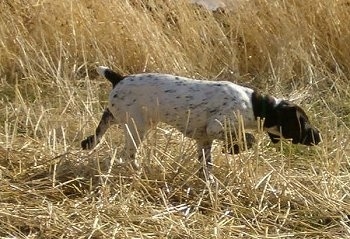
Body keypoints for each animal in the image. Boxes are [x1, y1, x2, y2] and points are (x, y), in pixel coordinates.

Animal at [81, 66, 320, 178]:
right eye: (304, 122)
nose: (319, 137)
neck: (254, 105)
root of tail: (119, 78)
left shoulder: (204, 140)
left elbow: (207, 166)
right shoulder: (216, 127)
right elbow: (249, 138)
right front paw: (233, 148)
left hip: (121, 117)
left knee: (100, 128)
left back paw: (90, 143)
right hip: (137, 127)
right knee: (127, 155)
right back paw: (138, 170)